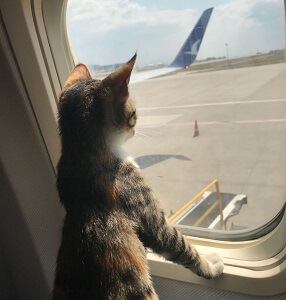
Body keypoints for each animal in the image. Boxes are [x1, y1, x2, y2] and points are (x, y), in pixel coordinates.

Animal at [52, 54, 225, 300]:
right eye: (134, 113)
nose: (135, 128)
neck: (79, 155)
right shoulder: (151, 217)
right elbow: (182, 246)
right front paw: (210, 264)